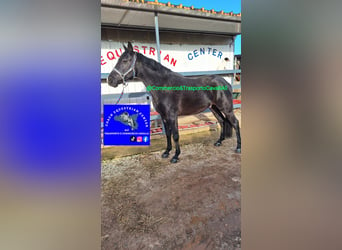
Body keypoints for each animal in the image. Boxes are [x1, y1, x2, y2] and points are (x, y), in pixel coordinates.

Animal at [107, 42, 240, 163]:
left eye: (125, 60)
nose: (110, 80)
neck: (163, 85)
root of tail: (225, 82)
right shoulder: (164, 116)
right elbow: (168, 134)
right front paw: (166, 152)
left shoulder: (172, 116)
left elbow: (175, 135)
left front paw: (175, 156)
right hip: (214, 108)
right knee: (222, 121)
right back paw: (219, 142)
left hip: (226, 109)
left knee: (235, 123)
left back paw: (238, 147)